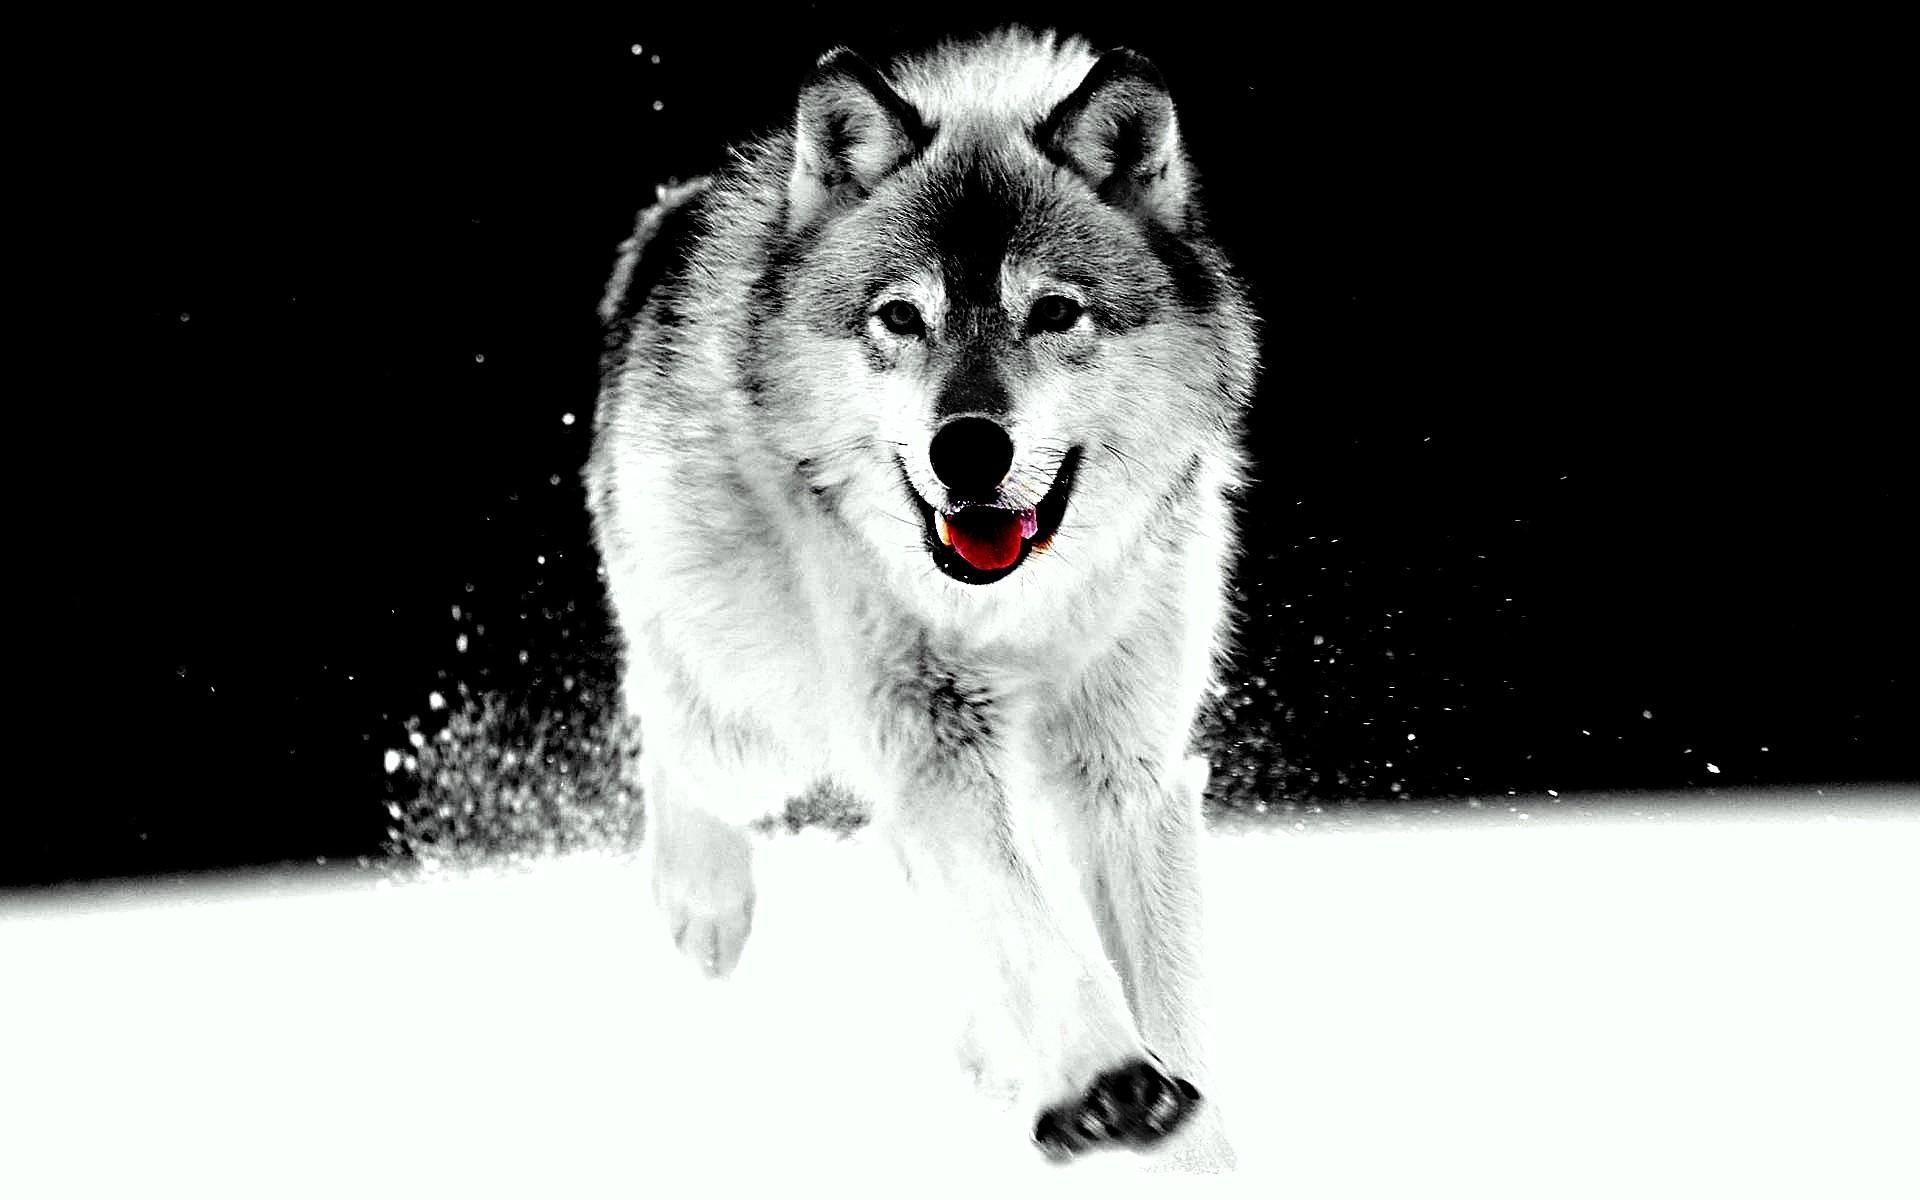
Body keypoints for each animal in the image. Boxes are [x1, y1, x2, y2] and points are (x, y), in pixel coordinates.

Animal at [586, 28, 1258, 1170]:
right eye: (901, 317)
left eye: (1054, 312)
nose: (968, 448)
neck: (1018, 614)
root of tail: (676, 210)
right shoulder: (928, 741)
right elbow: (1029, 925)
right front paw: (1111, 1082)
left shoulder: (1127, 772)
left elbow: (1165, 997)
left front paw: (1186, 1147)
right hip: (755, 731)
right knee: (668, 732)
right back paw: (704, 906)